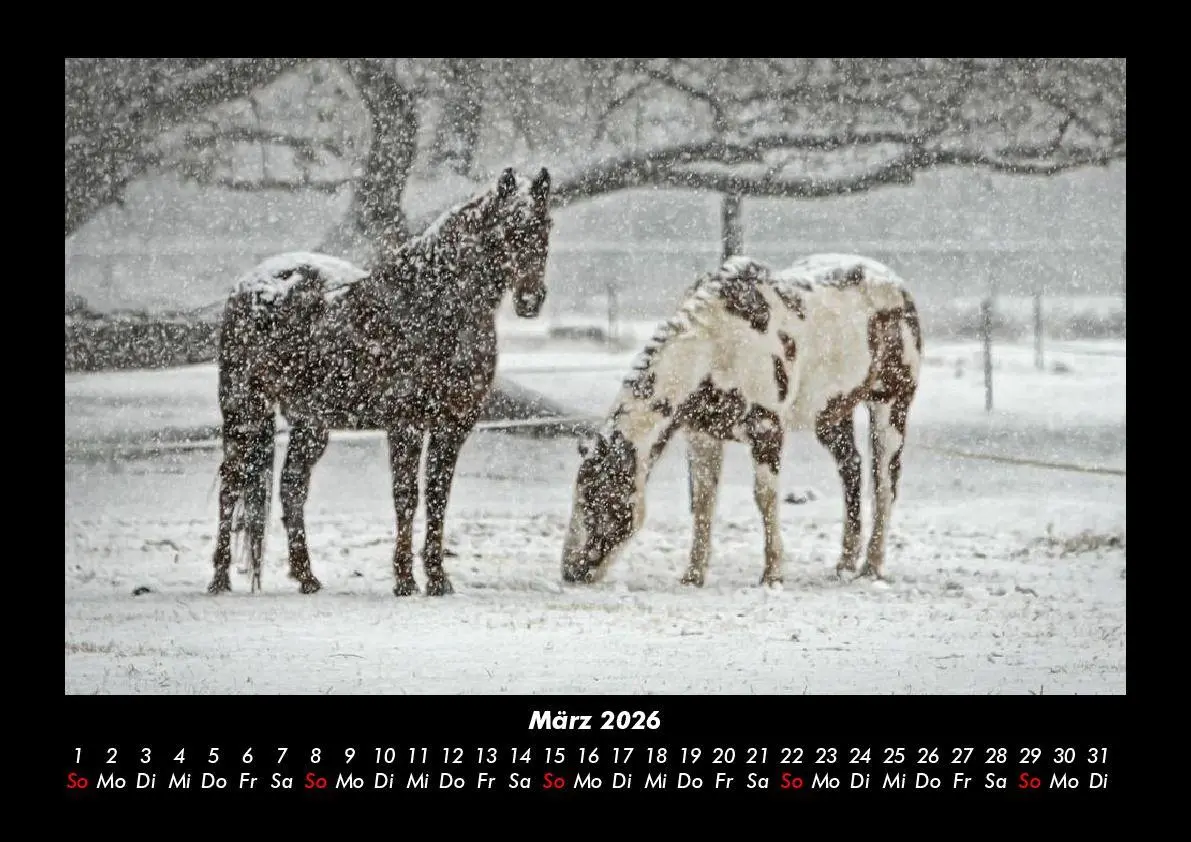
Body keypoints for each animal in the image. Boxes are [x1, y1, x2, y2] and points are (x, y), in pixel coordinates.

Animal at [208, 166, 553, 597]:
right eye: (508, 228)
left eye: (545, 225)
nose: (531, 299)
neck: (434, 305)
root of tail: (249, 285)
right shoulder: (406, 424)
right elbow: (406, 497)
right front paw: (404, 579)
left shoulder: (452, 426)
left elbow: (438, 496)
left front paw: (438, 578)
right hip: (244, 410)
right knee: (231, 484)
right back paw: (220, 578)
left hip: (310, 424)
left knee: (291, 487)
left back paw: (307, 576)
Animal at [560, 253, 922, 589]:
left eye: (599, 499)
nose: (570, 572)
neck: (716, 346)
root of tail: (897, 285)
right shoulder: (702, 435)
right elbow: (704, 502)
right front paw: (693, 576)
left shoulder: (766, 430)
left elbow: (765, 498)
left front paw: (772, 575)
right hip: (831, 415)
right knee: (852, 470)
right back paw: (845, 564)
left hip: (890, 406)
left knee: (885, 482)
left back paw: (871, 567)